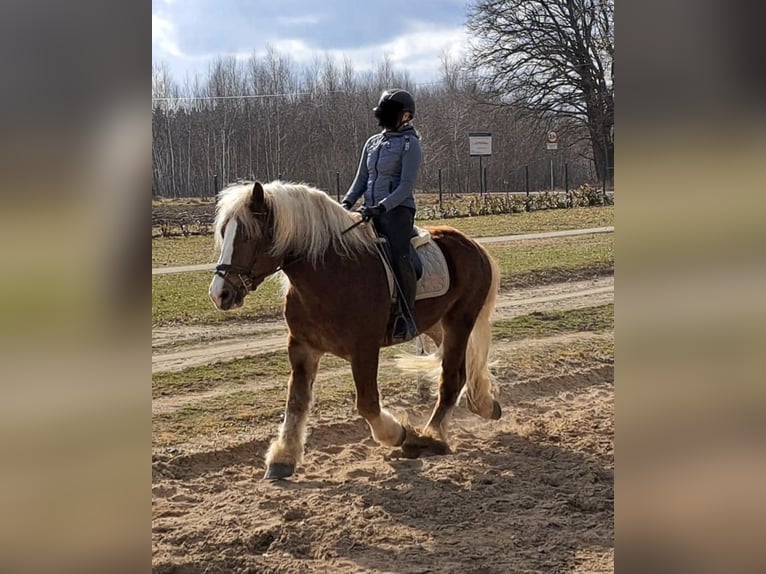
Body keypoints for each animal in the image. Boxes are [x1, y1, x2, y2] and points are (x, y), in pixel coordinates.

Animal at [209, 181, 502, 479]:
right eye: (224, 232)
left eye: (248, 236)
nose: (220, 294)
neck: (331, 275)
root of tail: (473, 246)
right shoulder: (302, 347)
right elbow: (297, 402)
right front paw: (283, 457)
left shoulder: (364, 349)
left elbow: (368, 404)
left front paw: (399, 433)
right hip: (436, 324)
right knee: (466, 365)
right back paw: (484, 404)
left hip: (459, 320)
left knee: (452, 377)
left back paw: (431, 436)